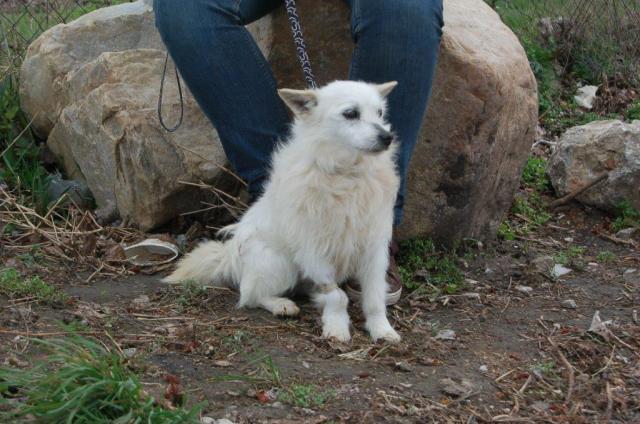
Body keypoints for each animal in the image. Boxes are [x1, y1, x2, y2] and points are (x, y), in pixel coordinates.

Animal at [164, 80, 401, 343]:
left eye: (380, 113)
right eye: (351, 113)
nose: (387, 137)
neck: (348, 175)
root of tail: (230, 255)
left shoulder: (374, 250)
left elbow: (374, 297)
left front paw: (382, 329)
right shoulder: (314, 252)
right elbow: (337, 295)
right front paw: (337, 327)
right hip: (280, 263)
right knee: (250, 295)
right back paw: (281, 304)